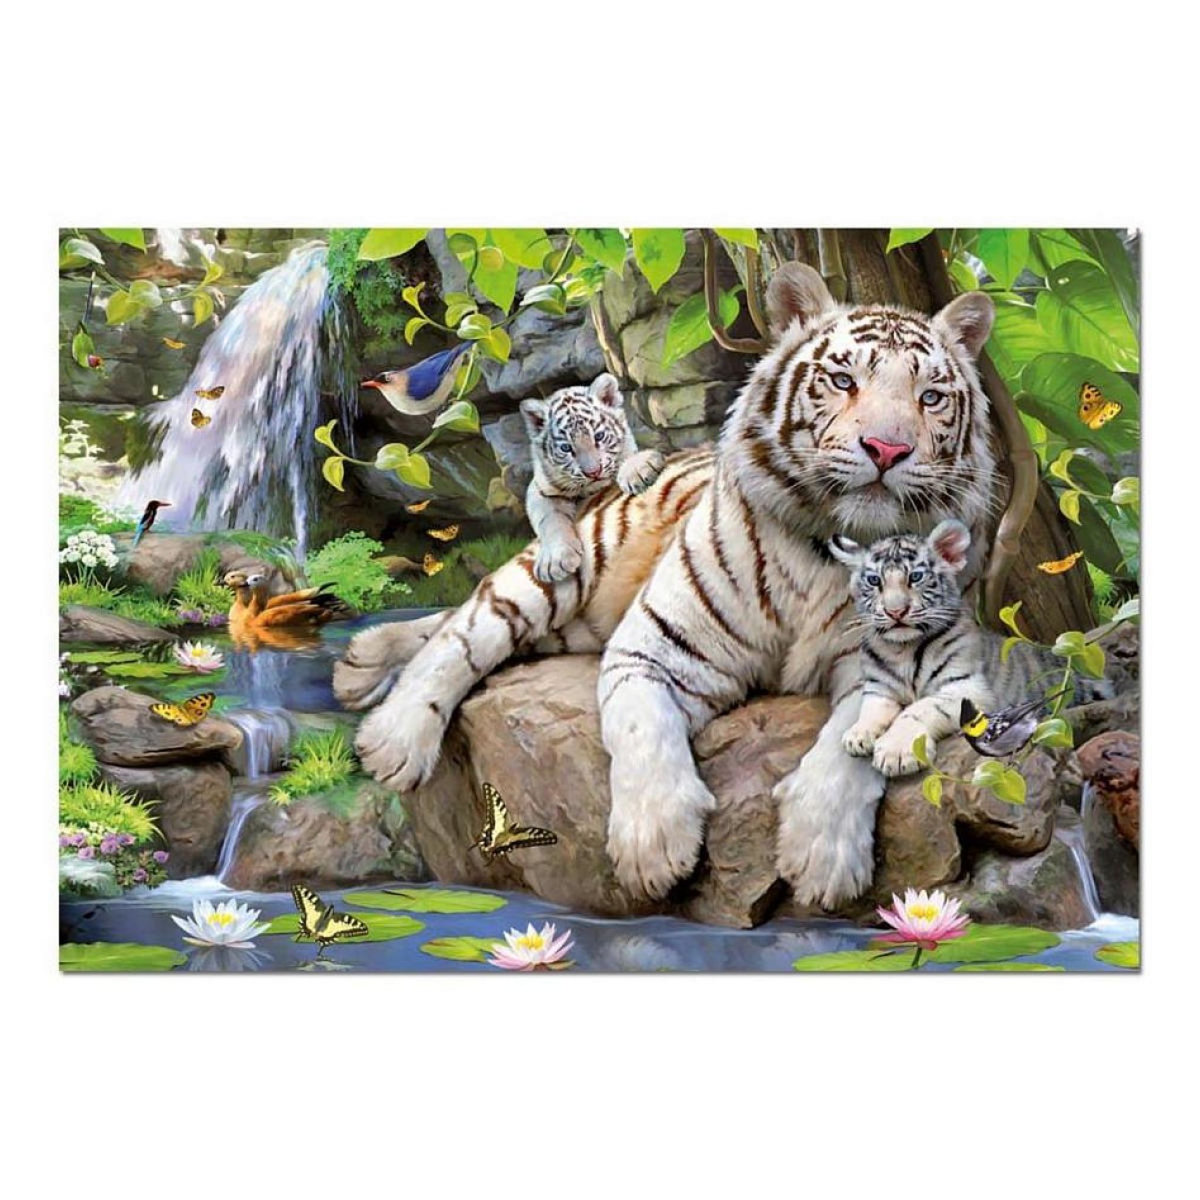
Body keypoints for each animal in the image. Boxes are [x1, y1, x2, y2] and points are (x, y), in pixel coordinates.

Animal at [521, 373, 665, 582]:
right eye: (566, 448)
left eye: (599, 436)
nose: (593, 472)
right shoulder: (540, 490)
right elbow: (550, 519)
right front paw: (556, 560)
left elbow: (627, 457)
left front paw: (638, 471)